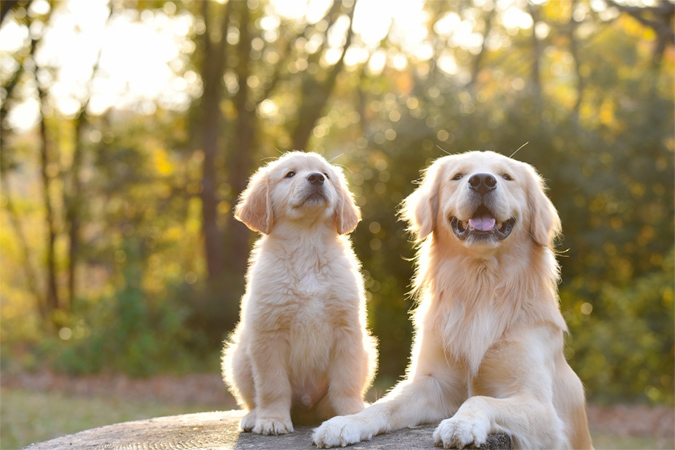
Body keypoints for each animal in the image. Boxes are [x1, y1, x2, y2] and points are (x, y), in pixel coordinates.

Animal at [223, 151, 378, 436]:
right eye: (290, 174)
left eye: (325, 174)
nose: (316, 178)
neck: (306, 245)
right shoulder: (268, 334)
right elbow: (273, 386)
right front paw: (273, 420)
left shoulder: (348, 331)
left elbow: (346, 383)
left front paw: (352, 415)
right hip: (238, 358)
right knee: (253, 398)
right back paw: (254, 416)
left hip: (367, 353)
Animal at [314, 152, 596, 450]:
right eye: (458, 176)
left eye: (507, 177)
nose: (482, 181)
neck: (480, 284)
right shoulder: (433, 383)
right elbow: (385, 404)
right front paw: (345, 422)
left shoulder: (540, 407)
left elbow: (479, 399)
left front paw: (461, 424)